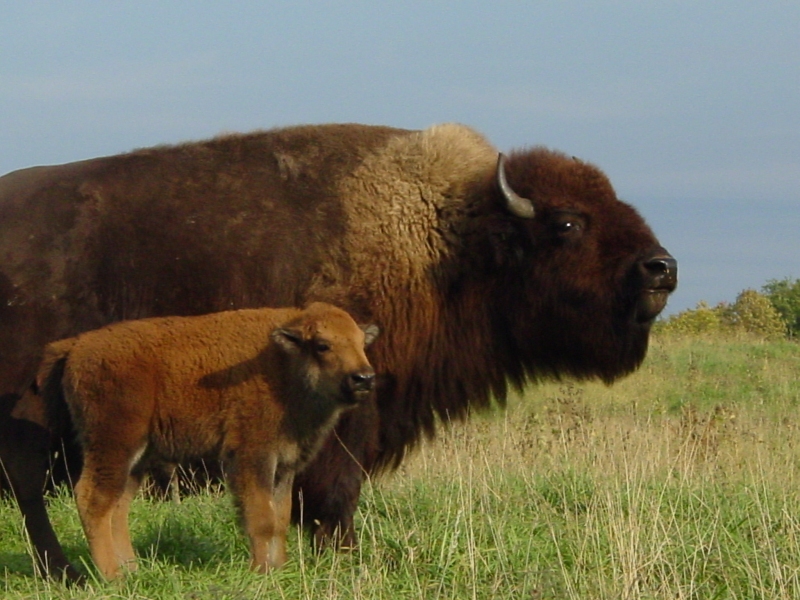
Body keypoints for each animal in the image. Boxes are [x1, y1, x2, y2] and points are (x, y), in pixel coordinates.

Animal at [34, 302, 378, 580]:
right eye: (322, 345)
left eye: (361, 343)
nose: (364, 378)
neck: (282, 361)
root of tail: (78, 345)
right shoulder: (252, 457)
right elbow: (262, 518)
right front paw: (262, 572)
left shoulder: (285, 465)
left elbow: (280, 518)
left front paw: (279, 570)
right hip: (114, 444)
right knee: (92, 499)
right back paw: (113, 576)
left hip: (136, 458)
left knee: (116, 508)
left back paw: (132, 570)